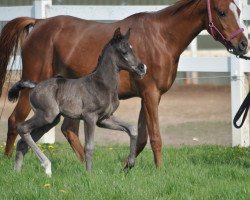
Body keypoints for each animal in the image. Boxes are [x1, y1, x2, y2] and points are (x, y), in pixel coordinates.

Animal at [0, 0, 248, 167]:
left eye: (239, 11)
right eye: (222, 12)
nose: (243, 44)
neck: (161, 37)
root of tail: (40, 22)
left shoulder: (148, 97)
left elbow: (141, 137)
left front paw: (126, 167)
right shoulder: (150, 94)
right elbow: (155, 137)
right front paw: (159, 171)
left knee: (67, 129)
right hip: (32, 88)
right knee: (14, 121)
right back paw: (10, 162)